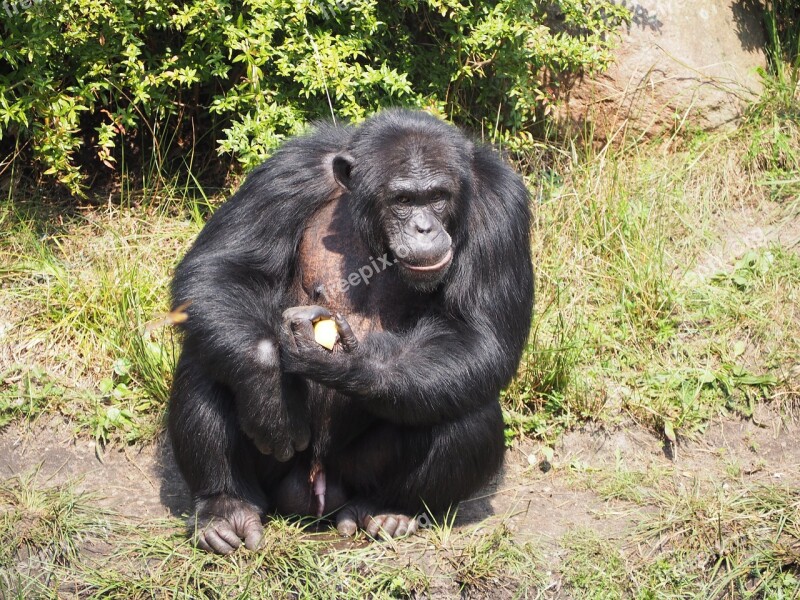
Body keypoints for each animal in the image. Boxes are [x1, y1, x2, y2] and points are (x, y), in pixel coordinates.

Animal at [168, 108, 532, 552]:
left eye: (438, 196)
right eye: (403, 200)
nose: (424, 228)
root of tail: (316, 493)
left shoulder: (500, 205)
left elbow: (479, 334)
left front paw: (346, 364)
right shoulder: (286, 172)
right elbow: (223, 268)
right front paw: (269, 390)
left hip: (354, 472)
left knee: (467, 410)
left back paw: (389, 510)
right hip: (280, 472)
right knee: (204, 361)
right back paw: (226, 508)